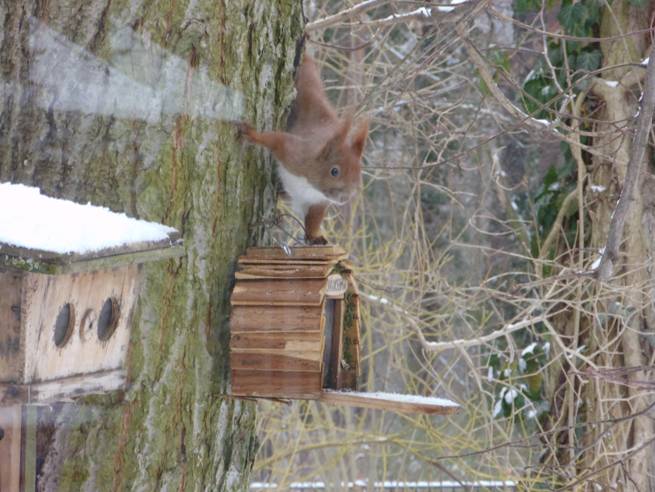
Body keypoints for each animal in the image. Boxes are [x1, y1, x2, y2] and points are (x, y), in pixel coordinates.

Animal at [240, 54, 368, 245]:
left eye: (359, 171)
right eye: (334, 171)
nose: (346, 197)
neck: (311, 185)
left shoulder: (318, 201)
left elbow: (314, 219)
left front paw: (315, 237)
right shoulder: (296, 155)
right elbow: (276, 140)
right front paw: (252, 134)